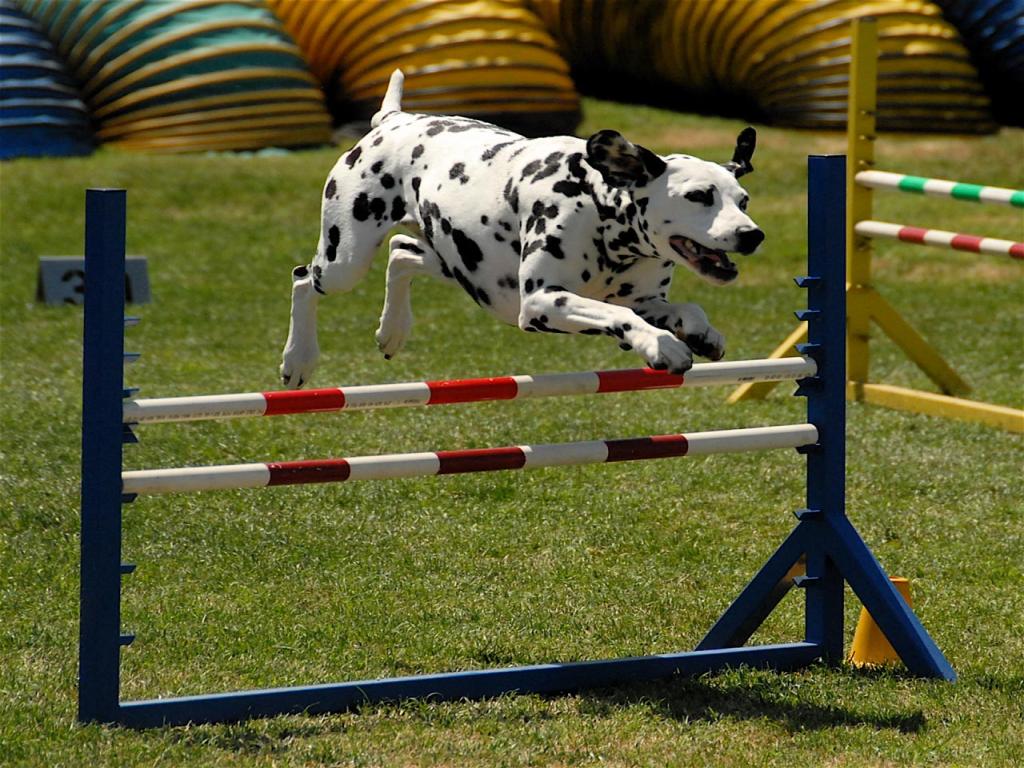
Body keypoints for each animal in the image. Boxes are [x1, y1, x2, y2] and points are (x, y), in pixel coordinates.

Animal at [280, 69, 761, 387]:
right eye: (699, 196)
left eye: (743, 200)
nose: (752, 235)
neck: (597, 205)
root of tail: (394, 119)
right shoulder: (543, 303)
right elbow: (619, 316)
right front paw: (661, 345)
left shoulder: (645, 300)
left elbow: (685, 308)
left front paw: (700, 333)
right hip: (344, 262)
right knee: (304, 279)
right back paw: (298, 359)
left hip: (470, 272)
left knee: (401, 253)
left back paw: (392, 331)